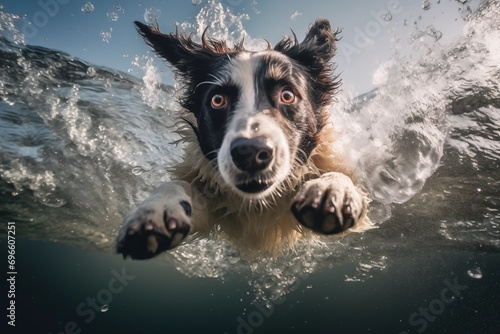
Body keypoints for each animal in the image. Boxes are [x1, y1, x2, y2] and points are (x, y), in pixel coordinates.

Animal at [115, 18, 370, 260]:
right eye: (217, 100)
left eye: (287, 95)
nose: (251, 153)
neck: (260, 203)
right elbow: (178, 185)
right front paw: (156, 210)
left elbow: (342, 178)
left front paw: (332, 190)